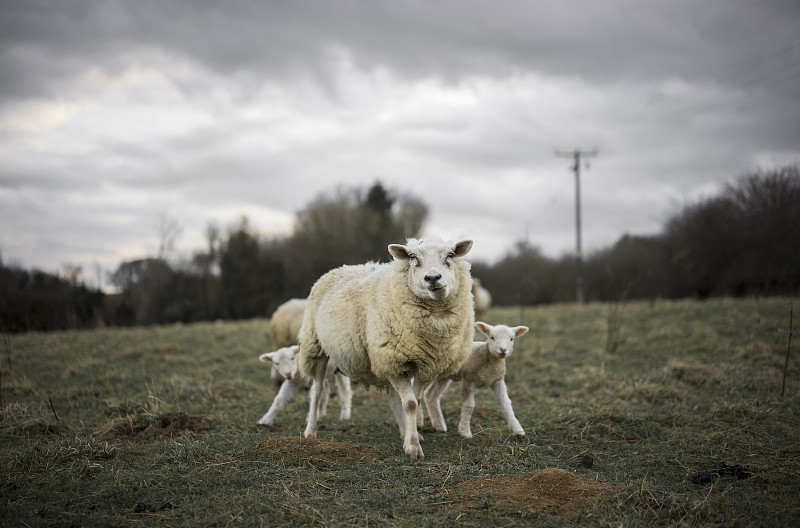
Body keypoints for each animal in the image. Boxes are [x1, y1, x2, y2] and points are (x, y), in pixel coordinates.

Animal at [298, 235, 476, 458]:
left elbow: (414, 401)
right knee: (317, 391)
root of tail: (340, 268)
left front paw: (411, 437)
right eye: (413, 257)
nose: (433, 278)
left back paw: (404, 430)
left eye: (450, 255)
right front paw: (413, 446)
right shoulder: (394, 360)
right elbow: (409, 403)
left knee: (393, 397)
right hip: (316, 347)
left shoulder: (423, 364)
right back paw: (310, 431)